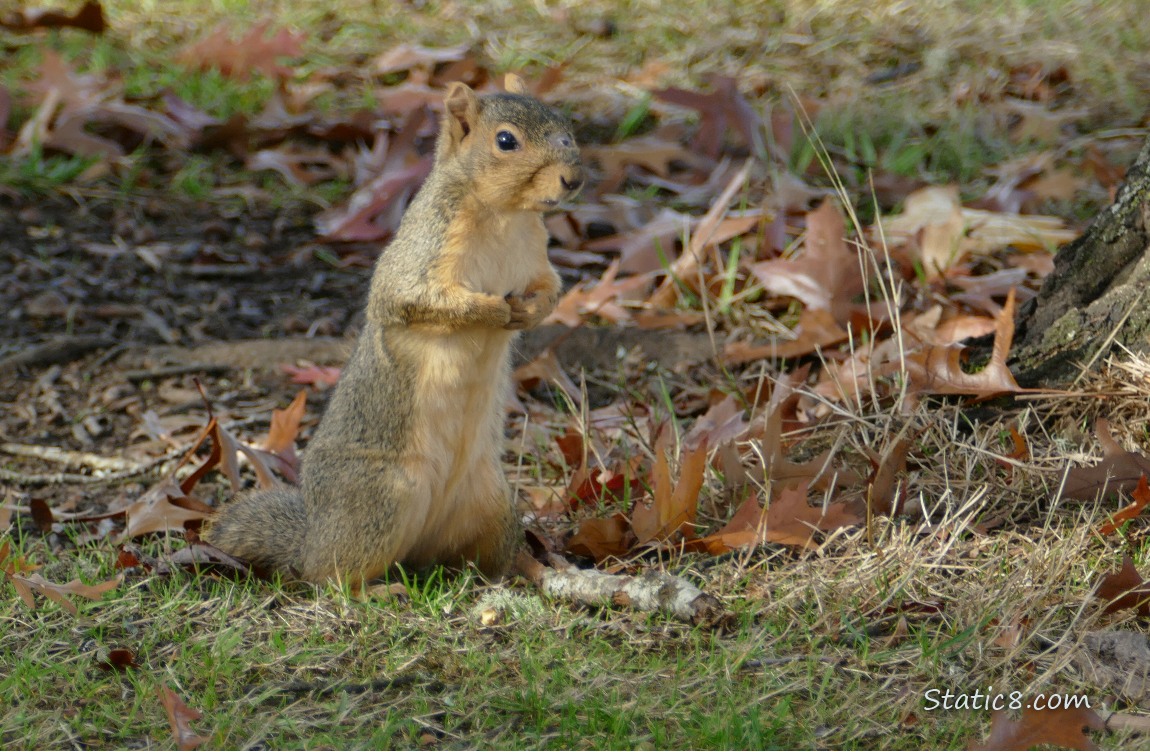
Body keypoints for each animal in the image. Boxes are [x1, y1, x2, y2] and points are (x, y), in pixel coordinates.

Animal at [204, 74, 583, 585]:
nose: (573, 179)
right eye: (506, 141)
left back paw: (535, 567)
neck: (506, 215)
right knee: (330, 575)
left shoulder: (536, 258)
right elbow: (416, 300)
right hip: (380, 498)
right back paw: (376, 590)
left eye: (564, 122)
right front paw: (492, 311)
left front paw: (530, 310)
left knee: (489, 559)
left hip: (493, 503)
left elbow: (551, 288)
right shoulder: (423, 253)